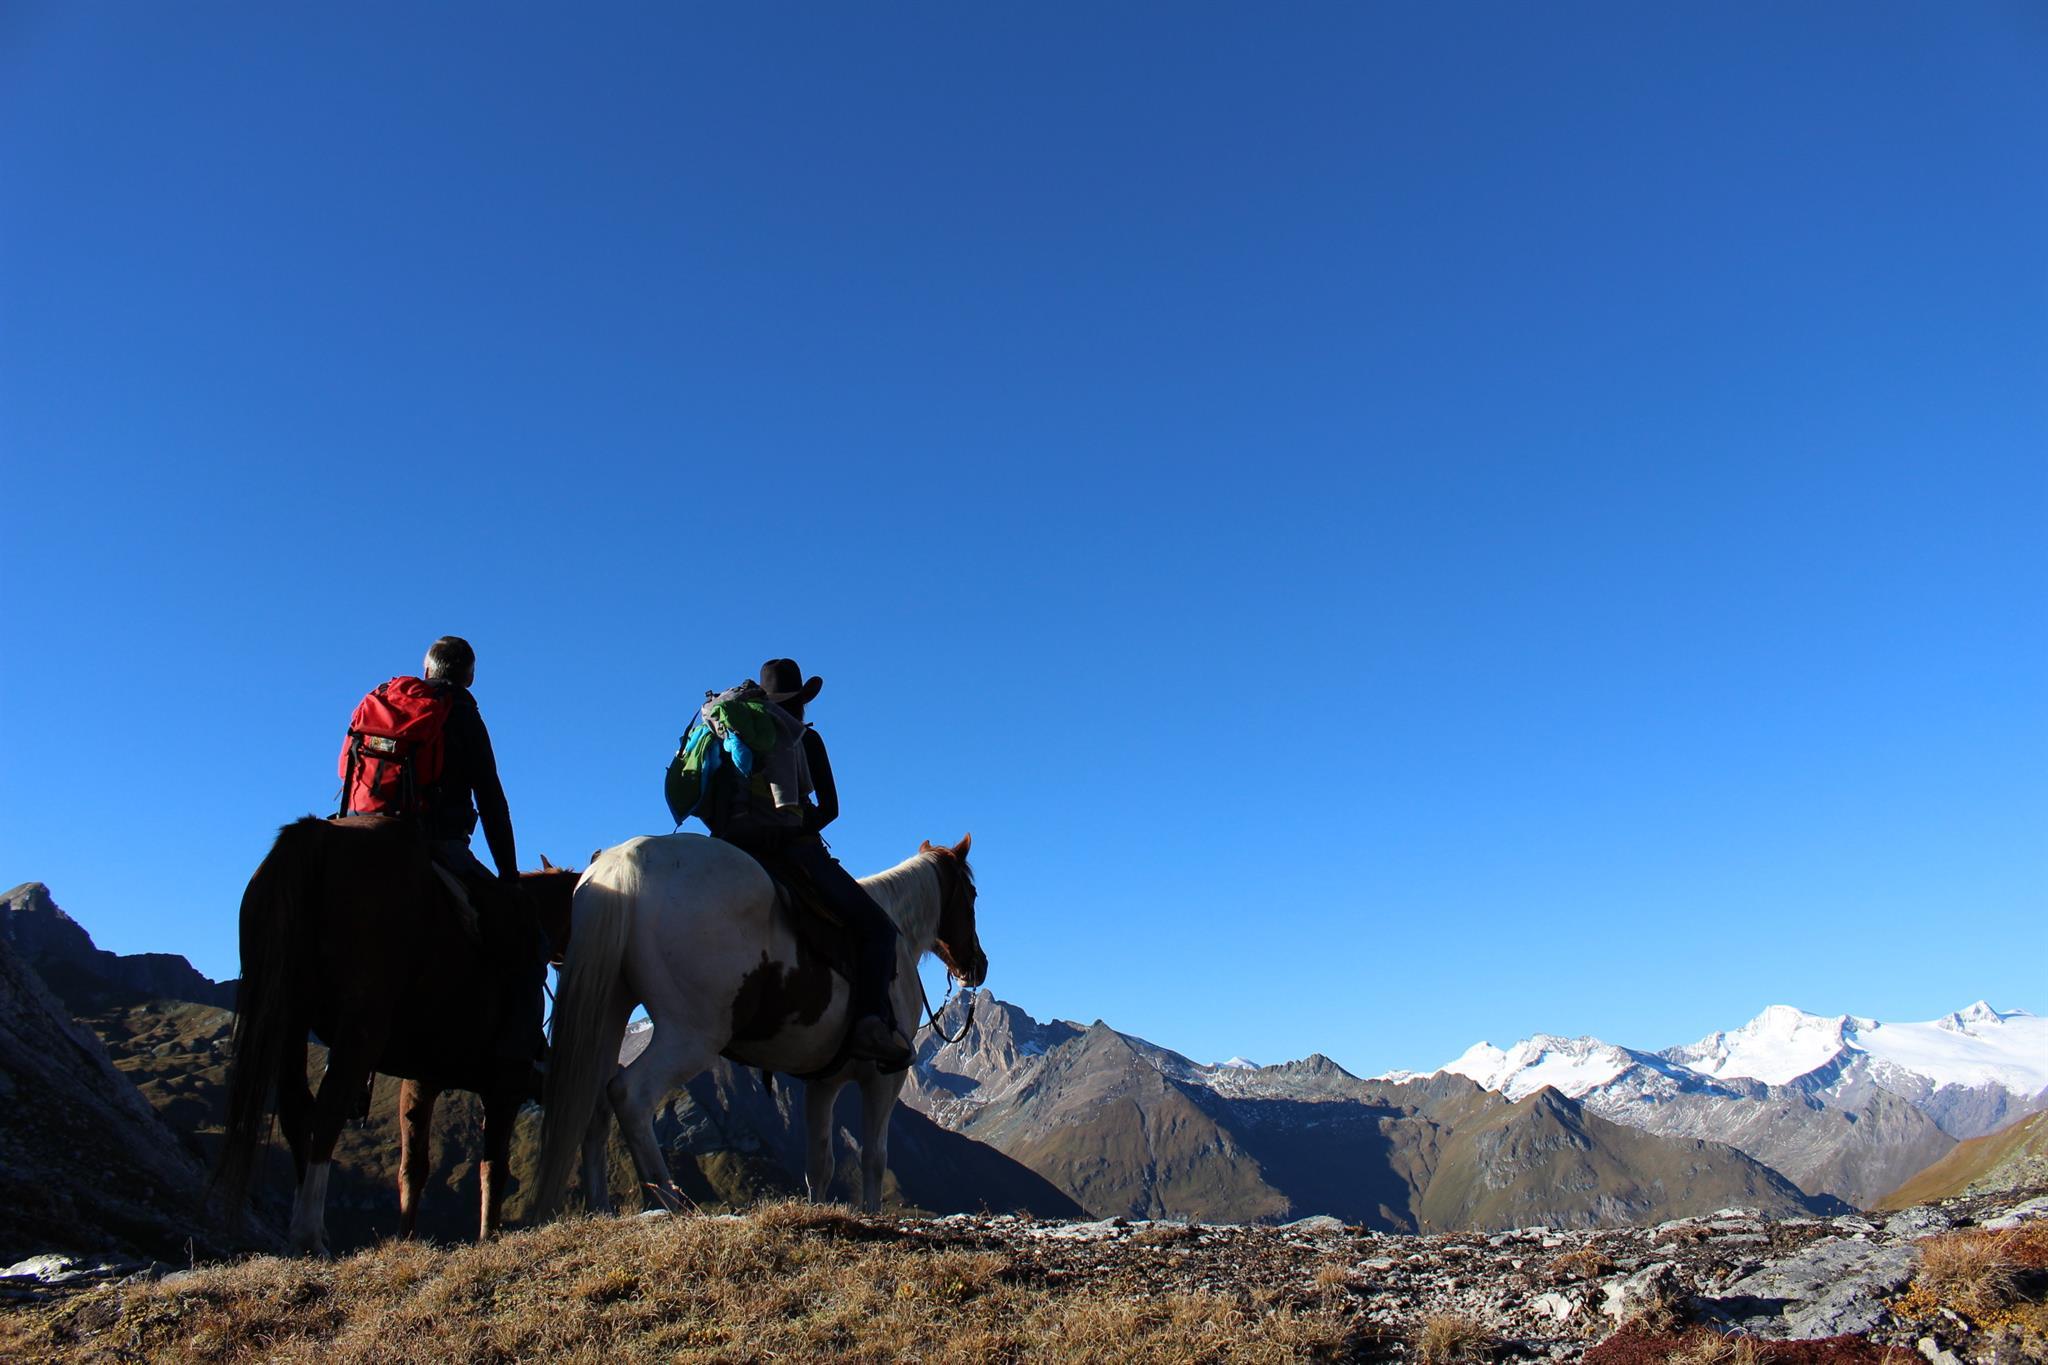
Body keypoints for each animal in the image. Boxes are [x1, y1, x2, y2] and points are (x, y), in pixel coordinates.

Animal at [216, 816, 579, 1255]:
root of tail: (316, 833)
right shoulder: (505, 1086)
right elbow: (493, 1167)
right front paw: (488, 1236)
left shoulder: (421, 1081)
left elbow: (414, 1168)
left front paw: (406, 1239)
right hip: (361, 1026)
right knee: (329, 1107)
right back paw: (308, 1233)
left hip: (290, 1021)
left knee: (296, 1108)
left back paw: (305, 1234)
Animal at [531, 832, 986, 1219]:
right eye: (972, 895)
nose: (977, 966)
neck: (895, 931)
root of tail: (620, 867)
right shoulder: (884, 1076)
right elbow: (874, 1157)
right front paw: (873, 1214)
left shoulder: (824, 1083)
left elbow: (820, 1163)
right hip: (691, 1035)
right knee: (630, 1094)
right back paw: (668, 1201)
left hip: (610, 1012)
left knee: (594, 1102)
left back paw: (601, 1208)